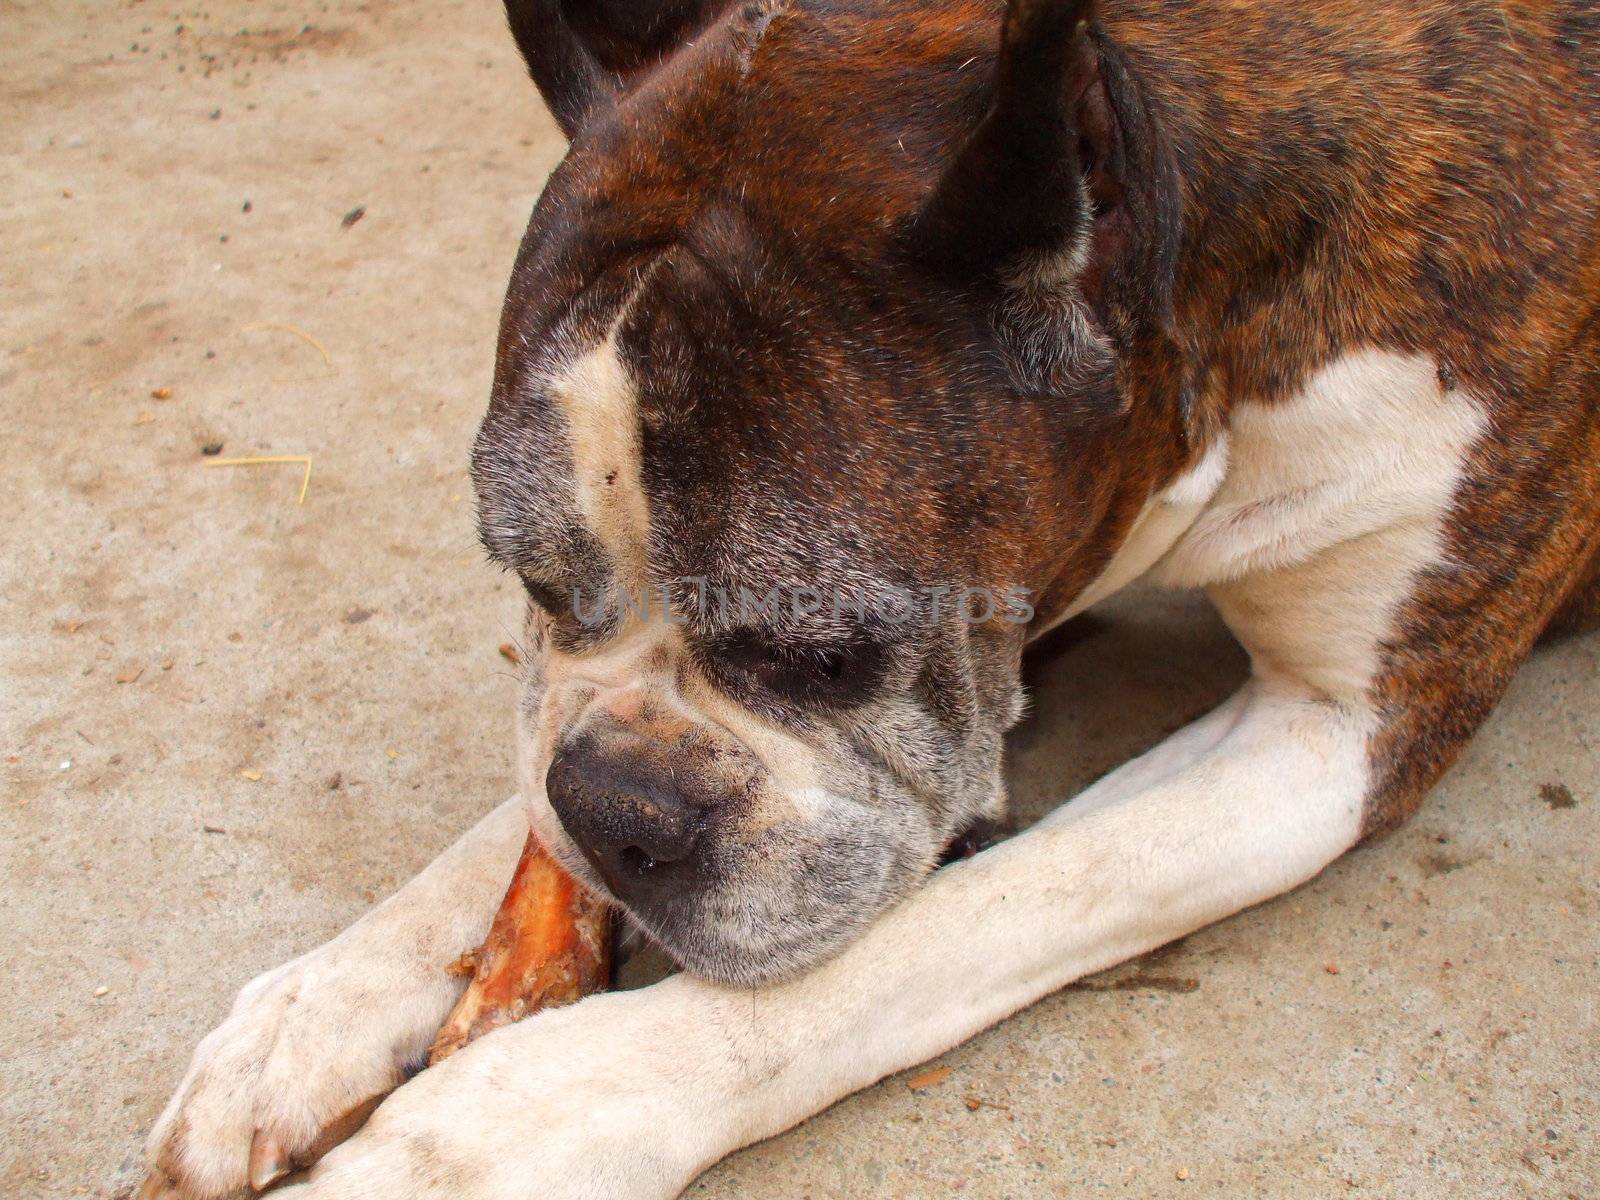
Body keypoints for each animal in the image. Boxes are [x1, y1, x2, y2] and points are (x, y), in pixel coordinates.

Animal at [144, 0, 1593, 1196]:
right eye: (535, 584)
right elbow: (513, 810)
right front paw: (320, 1004)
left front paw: (511, 1128)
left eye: (828, 655)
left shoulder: (1337, 728)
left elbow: (978, 915)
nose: (621, 812)